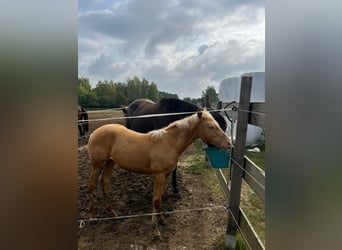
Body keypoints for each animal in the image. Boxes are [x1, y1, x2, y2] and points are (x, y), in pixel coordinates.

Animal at [87, 109, 231, 236]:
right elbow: (156, 200)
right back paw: (93, 217)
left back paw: (112, 213)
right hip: (97, 164)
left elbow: (161, 196)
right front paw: (155, 229)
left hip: (110, 162)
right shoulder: (159, 175)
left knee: (104, 182)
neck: (169, 143)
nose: (229, 143)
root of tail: (94, 133)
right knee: (92, 185)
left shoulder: (166, 174)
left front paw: (161, 220)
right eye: (211, 127)